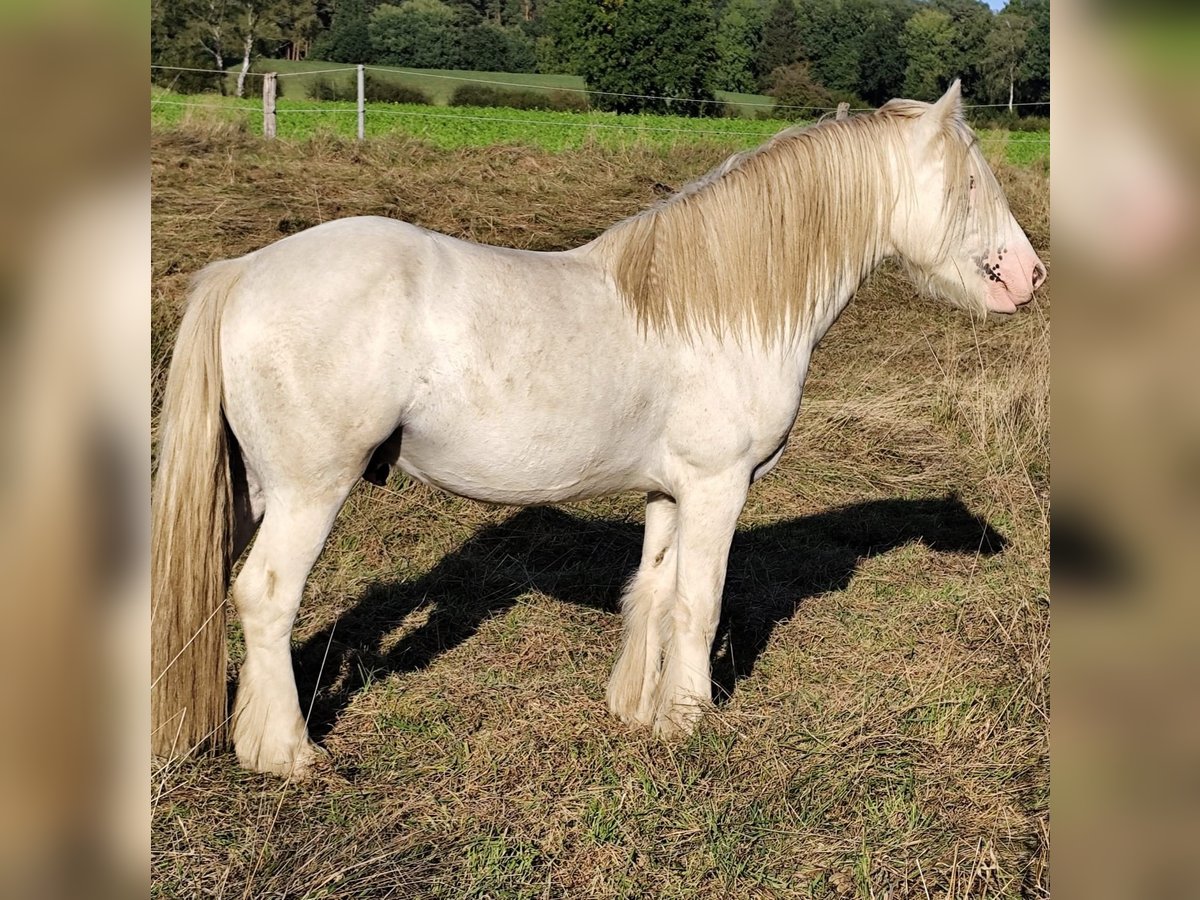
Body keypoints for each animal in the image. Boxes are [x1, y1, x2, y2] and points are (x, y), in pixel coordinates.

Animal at [154, 81, 1046, 777]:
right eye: (971, 182)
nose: (1030, 277)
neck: (722, 308)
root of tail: (243, 273)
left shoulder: (670, 491)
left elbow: (652, 591)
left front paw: (636, 711)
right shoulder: (718, 487)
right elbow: (699, 602)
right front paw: (689, 724)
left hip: (253, 492)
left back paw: (248, 741)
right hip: (309, 491)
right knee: (267, 596)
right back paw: (289, 756)